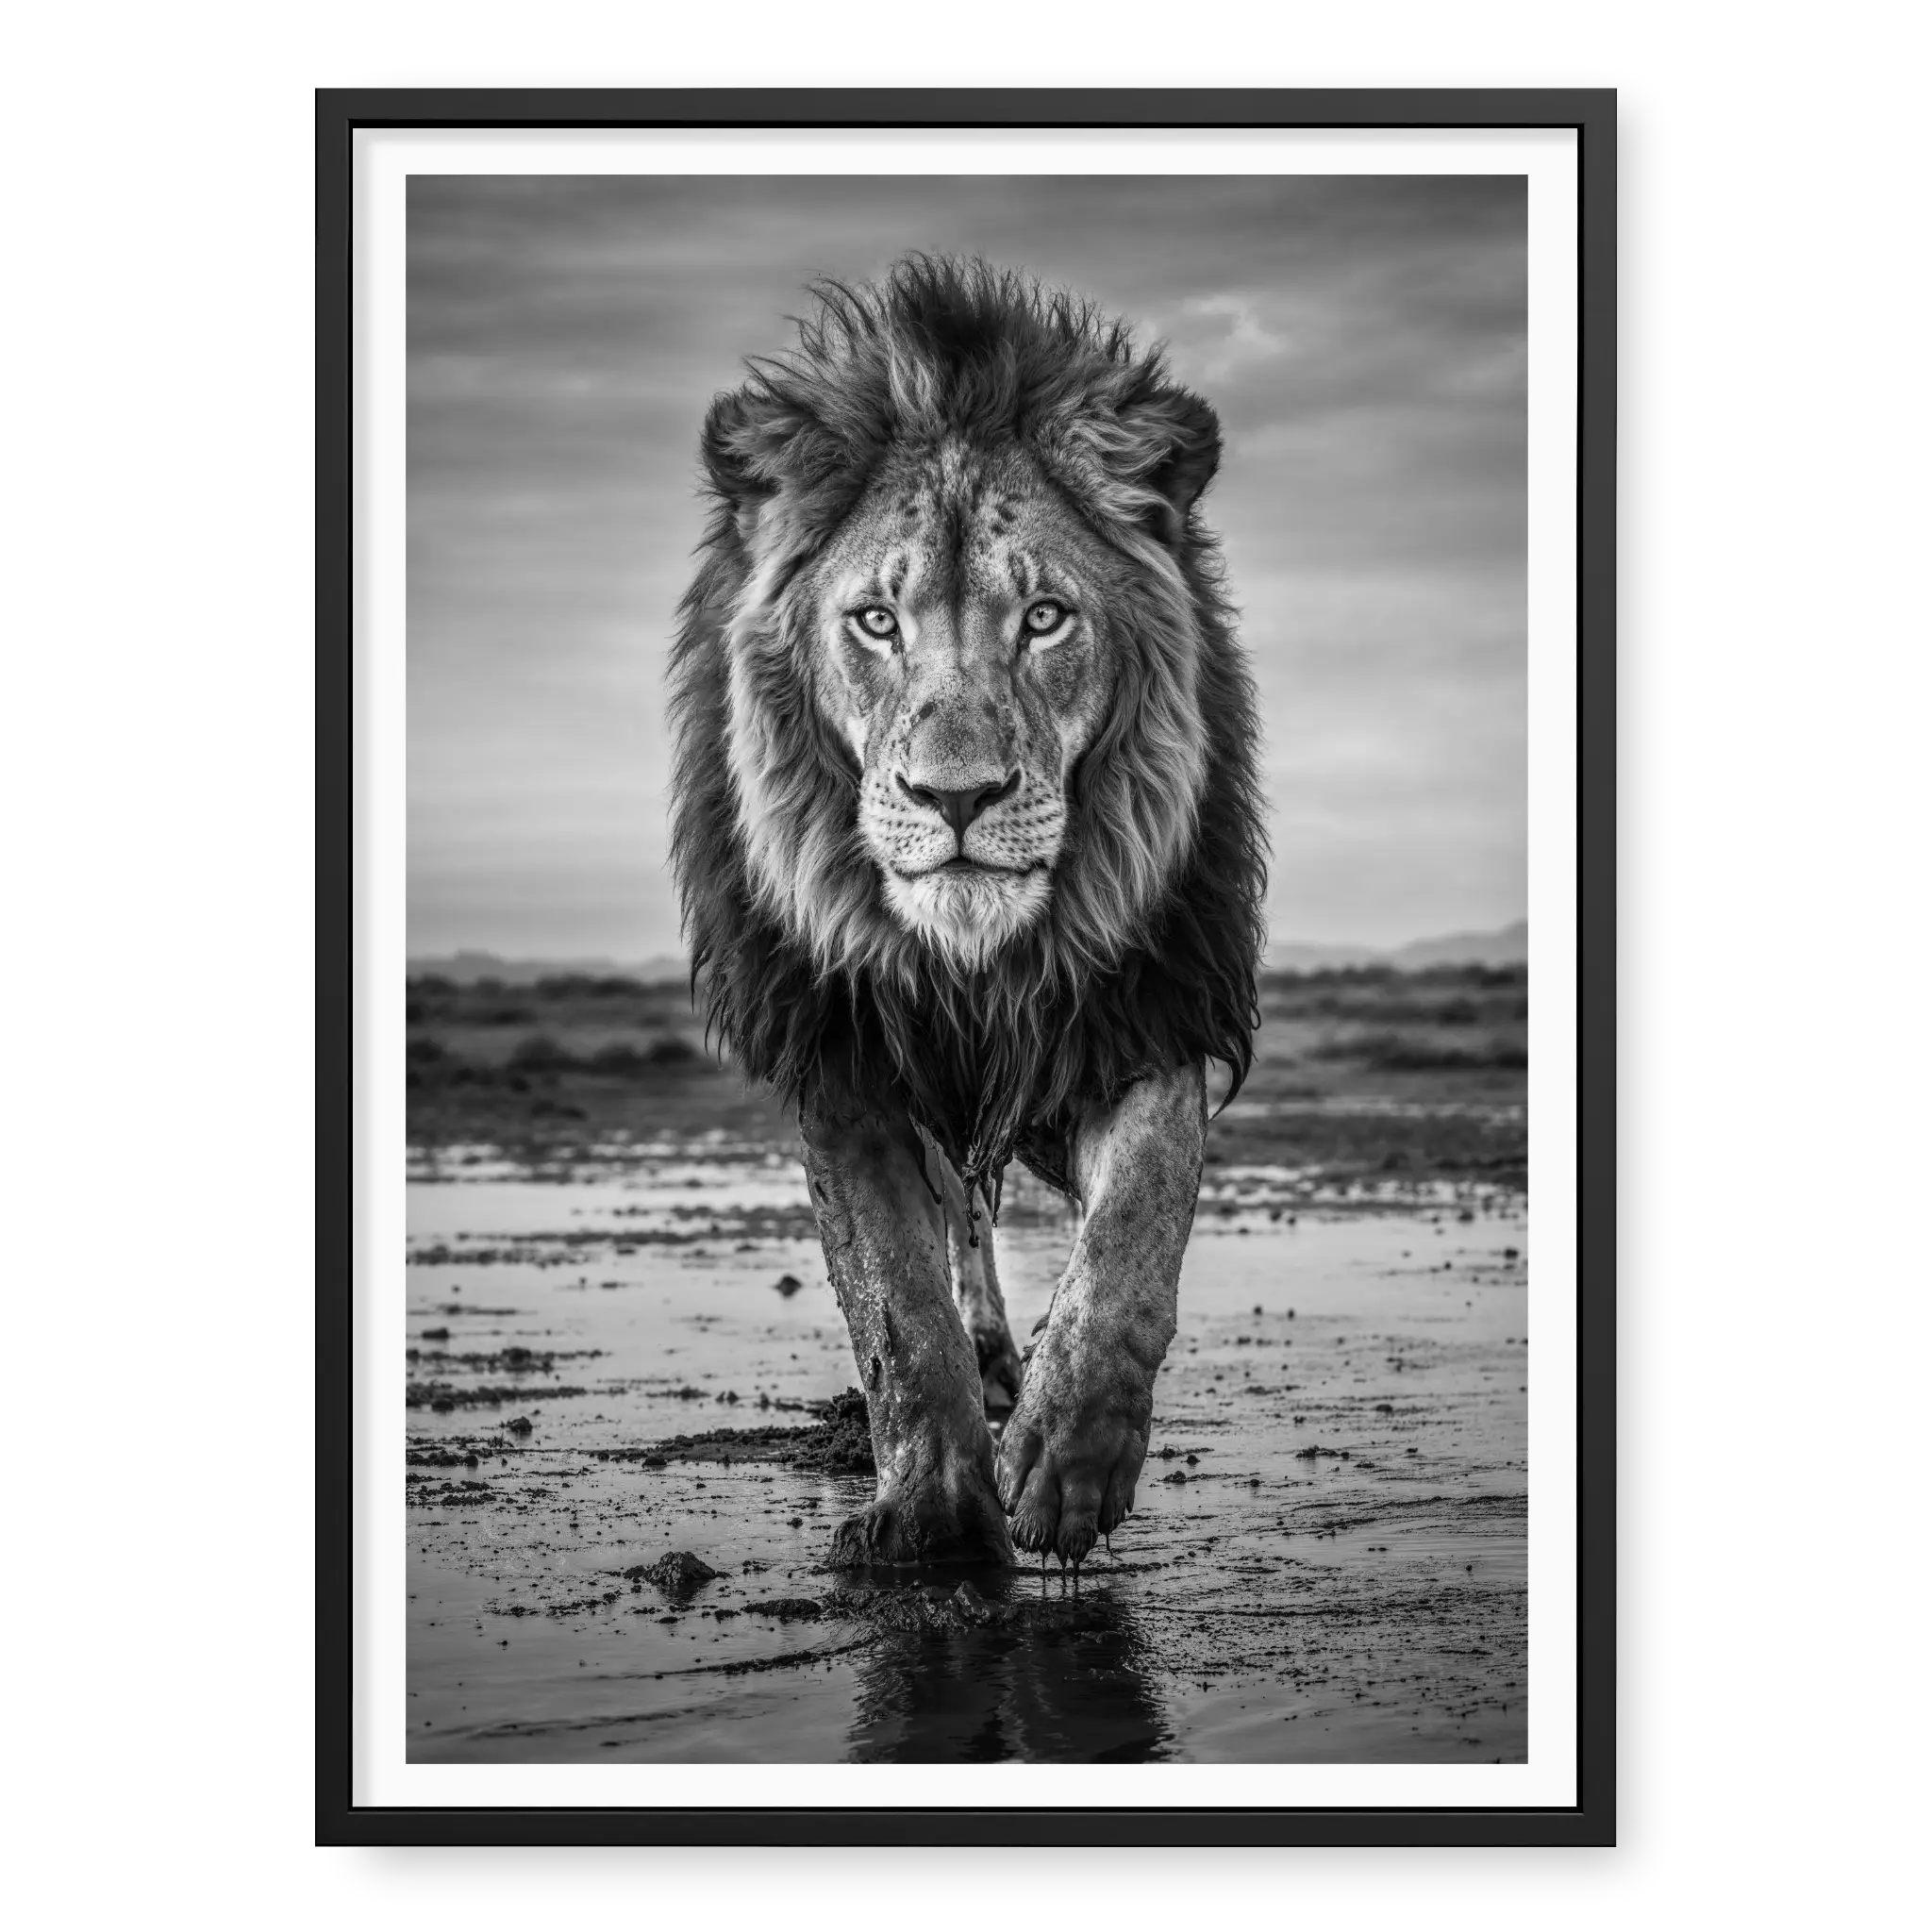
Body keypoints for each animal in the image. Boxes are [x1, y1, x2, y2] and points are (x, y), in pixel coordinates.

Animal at [669, 256, 1265, 1571]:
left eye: (1042, 618)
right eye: (874, 621)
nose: (956, 796)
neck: (977, 960)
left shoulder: (1140, 1006)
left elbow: (1134, 1228)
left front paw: (1067, 1457)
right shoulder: (841, 1050)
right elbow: (894, 1300)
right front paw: (937, 1514)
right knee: (957, 1232)